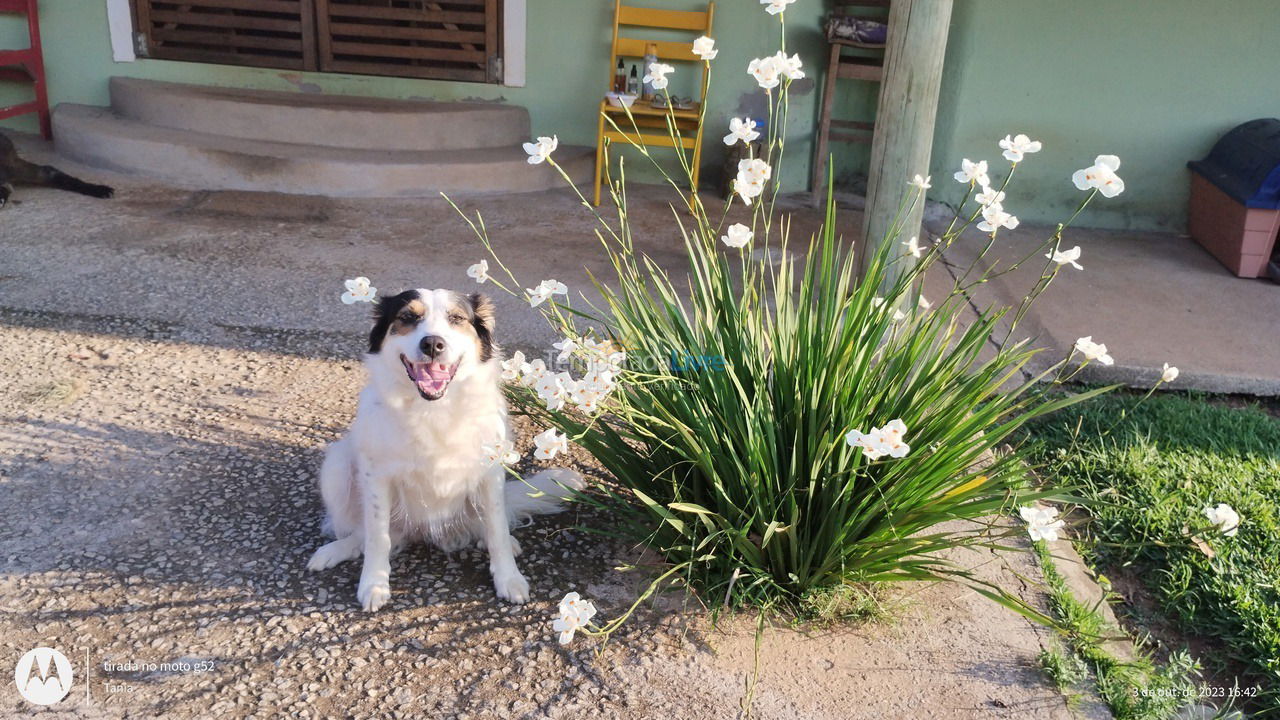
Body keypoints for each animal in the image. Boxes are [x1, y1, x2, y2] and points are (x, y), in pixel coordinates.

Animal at [307, 288, 578, 607]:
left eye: (457, 318)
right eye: (407, 317)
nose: (433, 344)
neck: (434, 408)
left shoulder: (490, 472)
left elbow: (497, 529)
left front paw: (508, 578)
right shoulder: (377, 477)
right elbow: (376, 536)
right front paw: (374, 583)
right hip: (335, 466)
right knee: (372, 535)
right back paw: (335, 550)